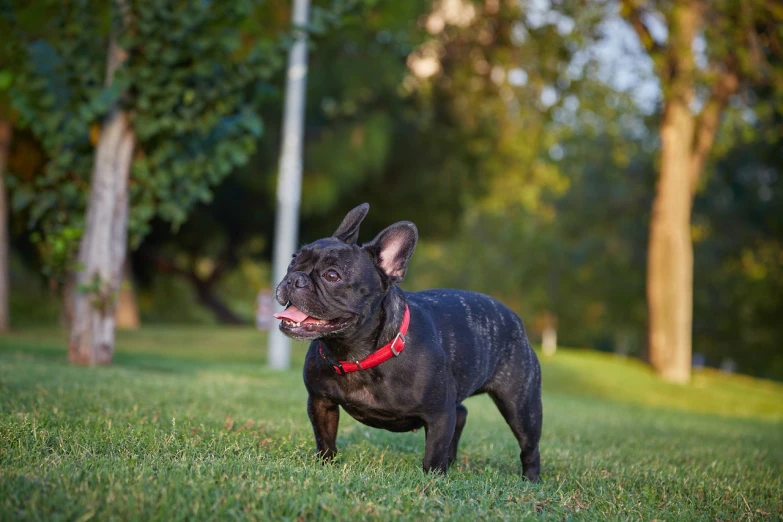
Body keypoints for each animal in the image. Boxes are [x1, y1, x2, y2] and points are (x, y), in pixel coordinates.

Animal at [278, 203, 544, 480]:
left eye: (332, 276)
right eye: (293, 260)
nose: (295, 278)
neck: (357, 354)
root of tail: (515, 318)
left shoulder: (439, 415)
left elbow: (433, 454)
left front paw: (433, 480)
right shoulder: (320, 402)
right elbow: (325, 439)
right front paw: (325, 466)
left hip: (521, 406)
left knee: (529, 445)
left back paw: (530, 480)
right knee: (461, 413)